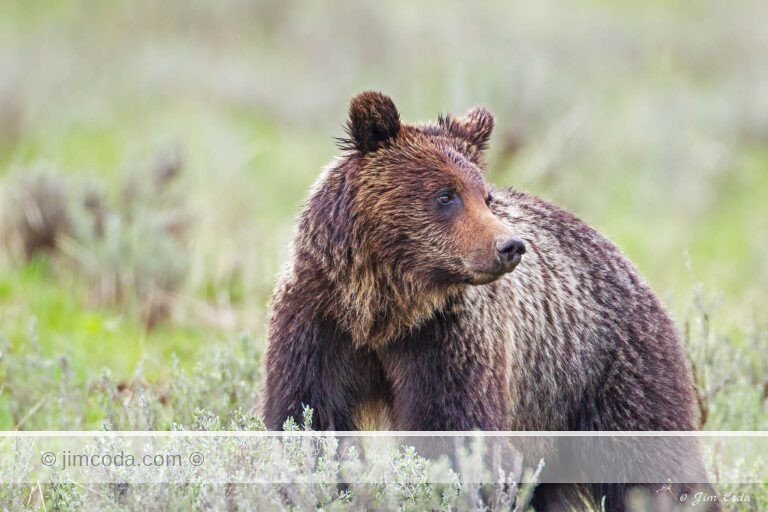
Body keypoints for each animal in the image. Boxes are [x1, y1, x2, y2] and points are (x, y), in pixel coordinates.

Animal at [262, 91, 716, 511]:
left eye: (485, 196)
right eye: (446, 195)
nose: (510, 246)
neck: (384, 311)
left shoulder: (451, 338)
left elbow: (457, 435)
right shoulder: (319, 323)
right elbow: (308, 419)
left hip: (608, 370)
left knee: (651, 462)